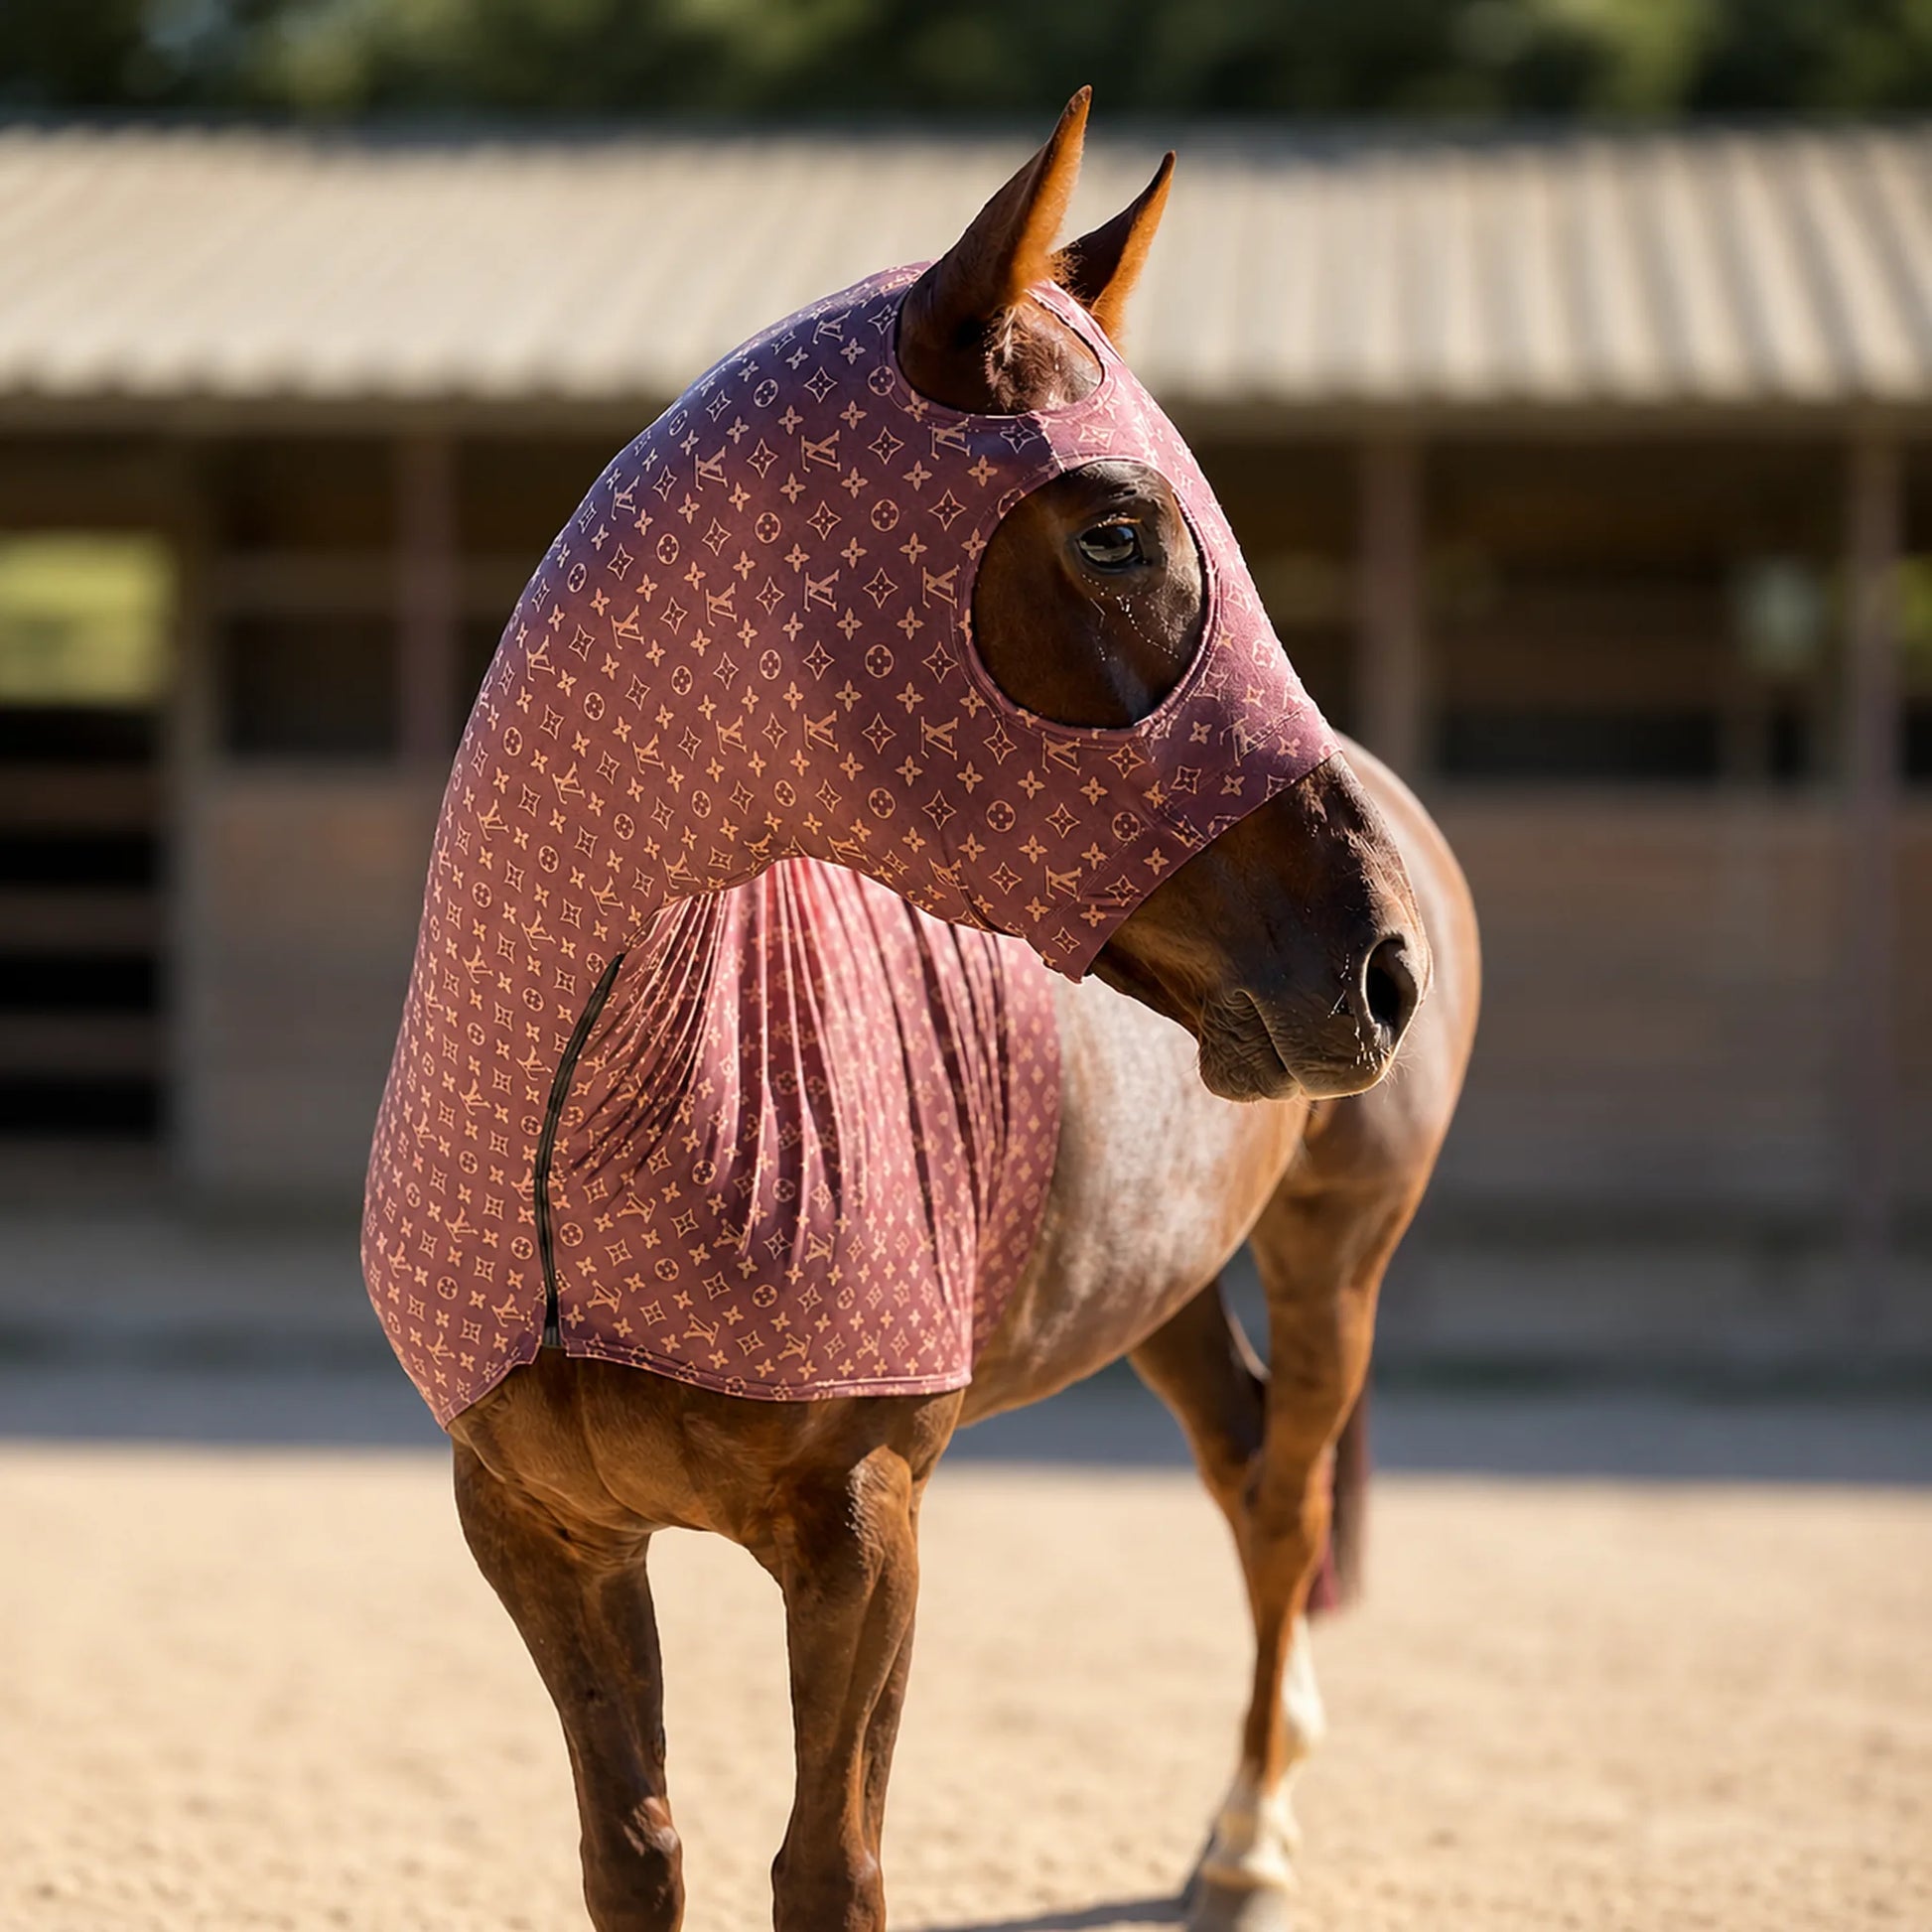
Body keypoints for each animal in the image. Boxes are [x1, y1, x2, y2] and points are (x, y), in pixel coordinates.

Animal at [366, 91, 1478, 1932]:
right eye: (1113, 528)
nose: (1383, 965)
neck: (588, 1131)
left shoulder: (863, 1535)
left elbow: (829, 1869)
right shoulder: (538, 1530)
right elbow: (633, 1857)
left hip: (1338, 1248)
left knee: (1287, 1499)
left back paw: (1248, 1835)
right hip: (1161, 1278)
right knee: (1244, 1462)